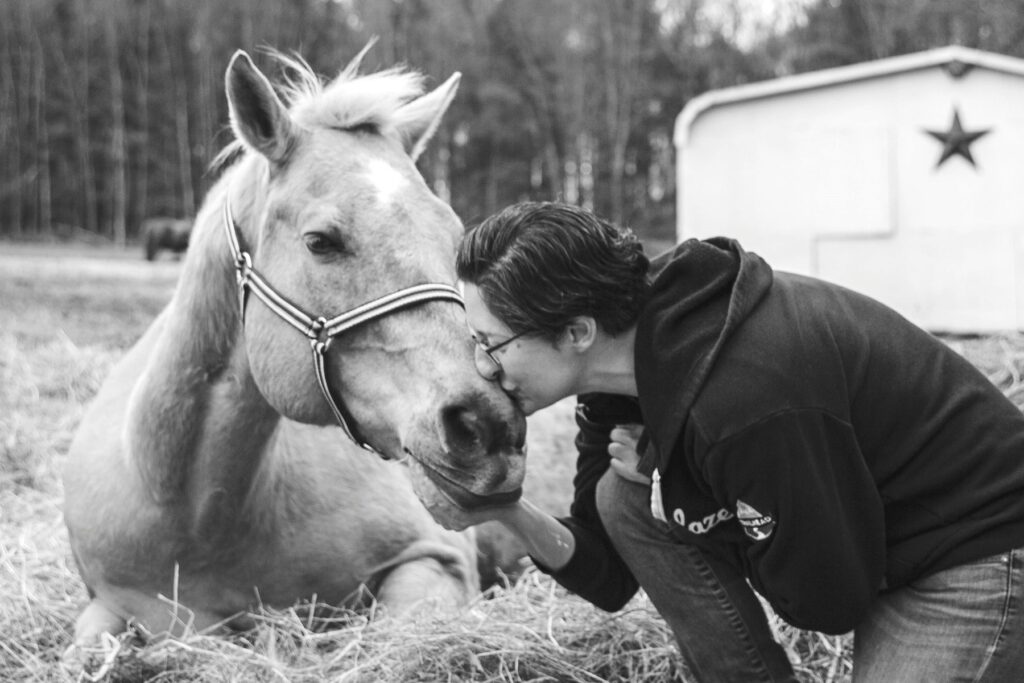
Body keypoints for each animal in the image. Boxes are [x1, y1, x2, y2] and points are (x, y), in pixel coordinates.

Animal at [61, 45, 528, 655]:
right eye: (319, 241)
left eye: (454, 237)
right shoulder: (109, 604)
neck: (191, 511)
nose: (487, 425)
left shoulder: (434, 562)